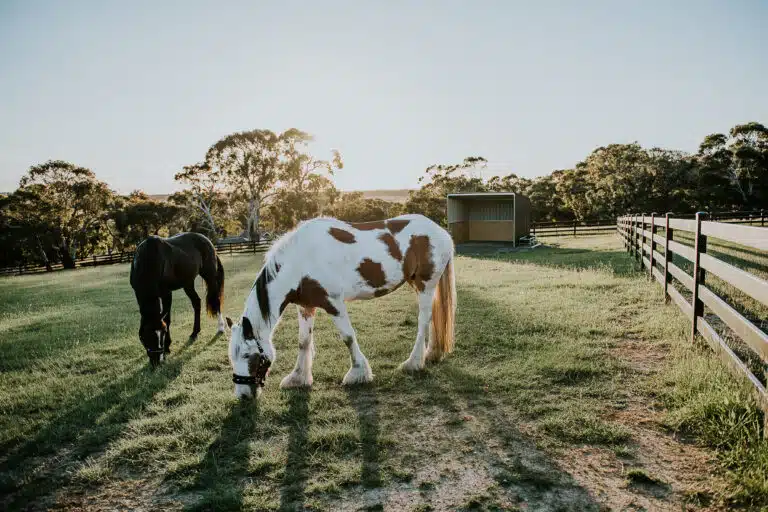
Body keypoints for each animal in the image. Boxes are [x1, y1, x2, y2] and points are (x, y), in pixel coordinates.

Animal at [130, 232, 226, 366]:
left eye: (164, 332)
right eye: (145, 336)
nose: (157, 361)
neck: (150, 259)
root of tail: (206, 240)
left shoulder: (166, 293)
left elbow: (167, 319)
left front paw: (167, 347)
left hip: (210, 276)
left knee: (216, 301)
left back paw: (221, 327)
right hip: (188, 282)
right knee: (196, 302)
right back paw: (195, 332)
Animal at [225, 213, 456, 398]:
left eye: (247, 355)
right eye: (231, 357)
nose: (243, 396)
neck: (301, 259)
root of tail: (442, 232)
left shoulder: (334, 304)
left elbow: (348, 337)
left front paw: (358, 373)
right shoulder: (306, 307)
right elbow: (303, 342)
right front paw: (298, 378)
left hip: (425, 286)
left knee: (423, 321)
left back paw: (413, 363)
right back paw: (431, 354)